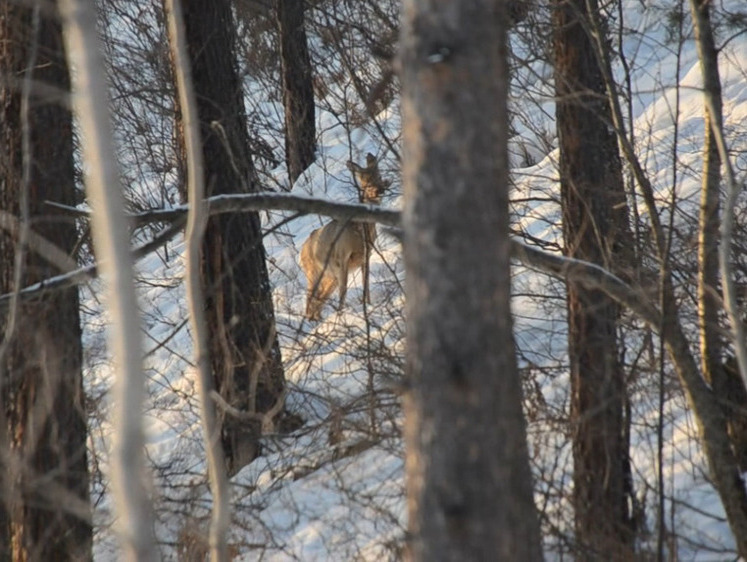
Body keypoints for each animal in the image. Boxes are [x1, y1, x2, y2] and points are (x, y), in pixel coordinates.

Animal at [300, 153, 392, 320]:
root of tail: (301, 250)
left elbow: (365, 283)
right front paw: (340, 316)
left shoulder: (367, 254)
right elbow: (344, 290)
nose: (379, 191)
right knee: (310, 298)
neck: (359, 231)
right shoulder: (342, 255)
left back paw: (317, 320)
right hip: (313, 271)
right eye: (364, 181)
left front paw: (368, 305)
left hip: (329, 276)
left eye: (379, 175)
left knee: (319, 299)